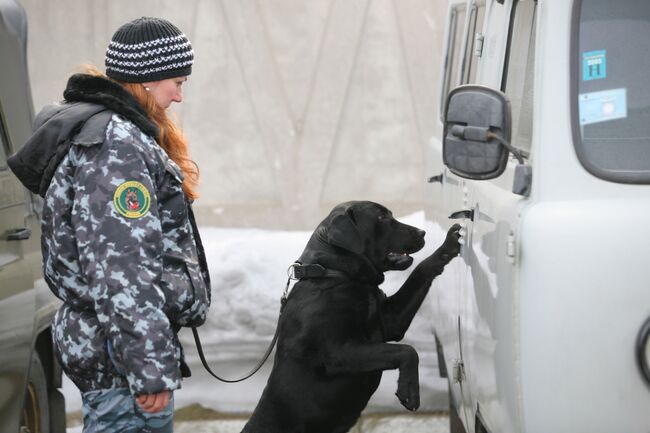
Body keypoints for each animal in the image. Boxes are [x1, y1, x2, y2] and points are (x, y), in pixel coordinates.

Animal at [240, 201, 458, 430]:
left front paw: (448, 246)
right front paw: (409, 389)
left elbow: (420, 272)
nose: (421, 232)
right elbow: (407, 351)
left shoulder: (391, 321)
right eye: (381, 217)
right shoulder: (338, 352)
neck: (337, 274)